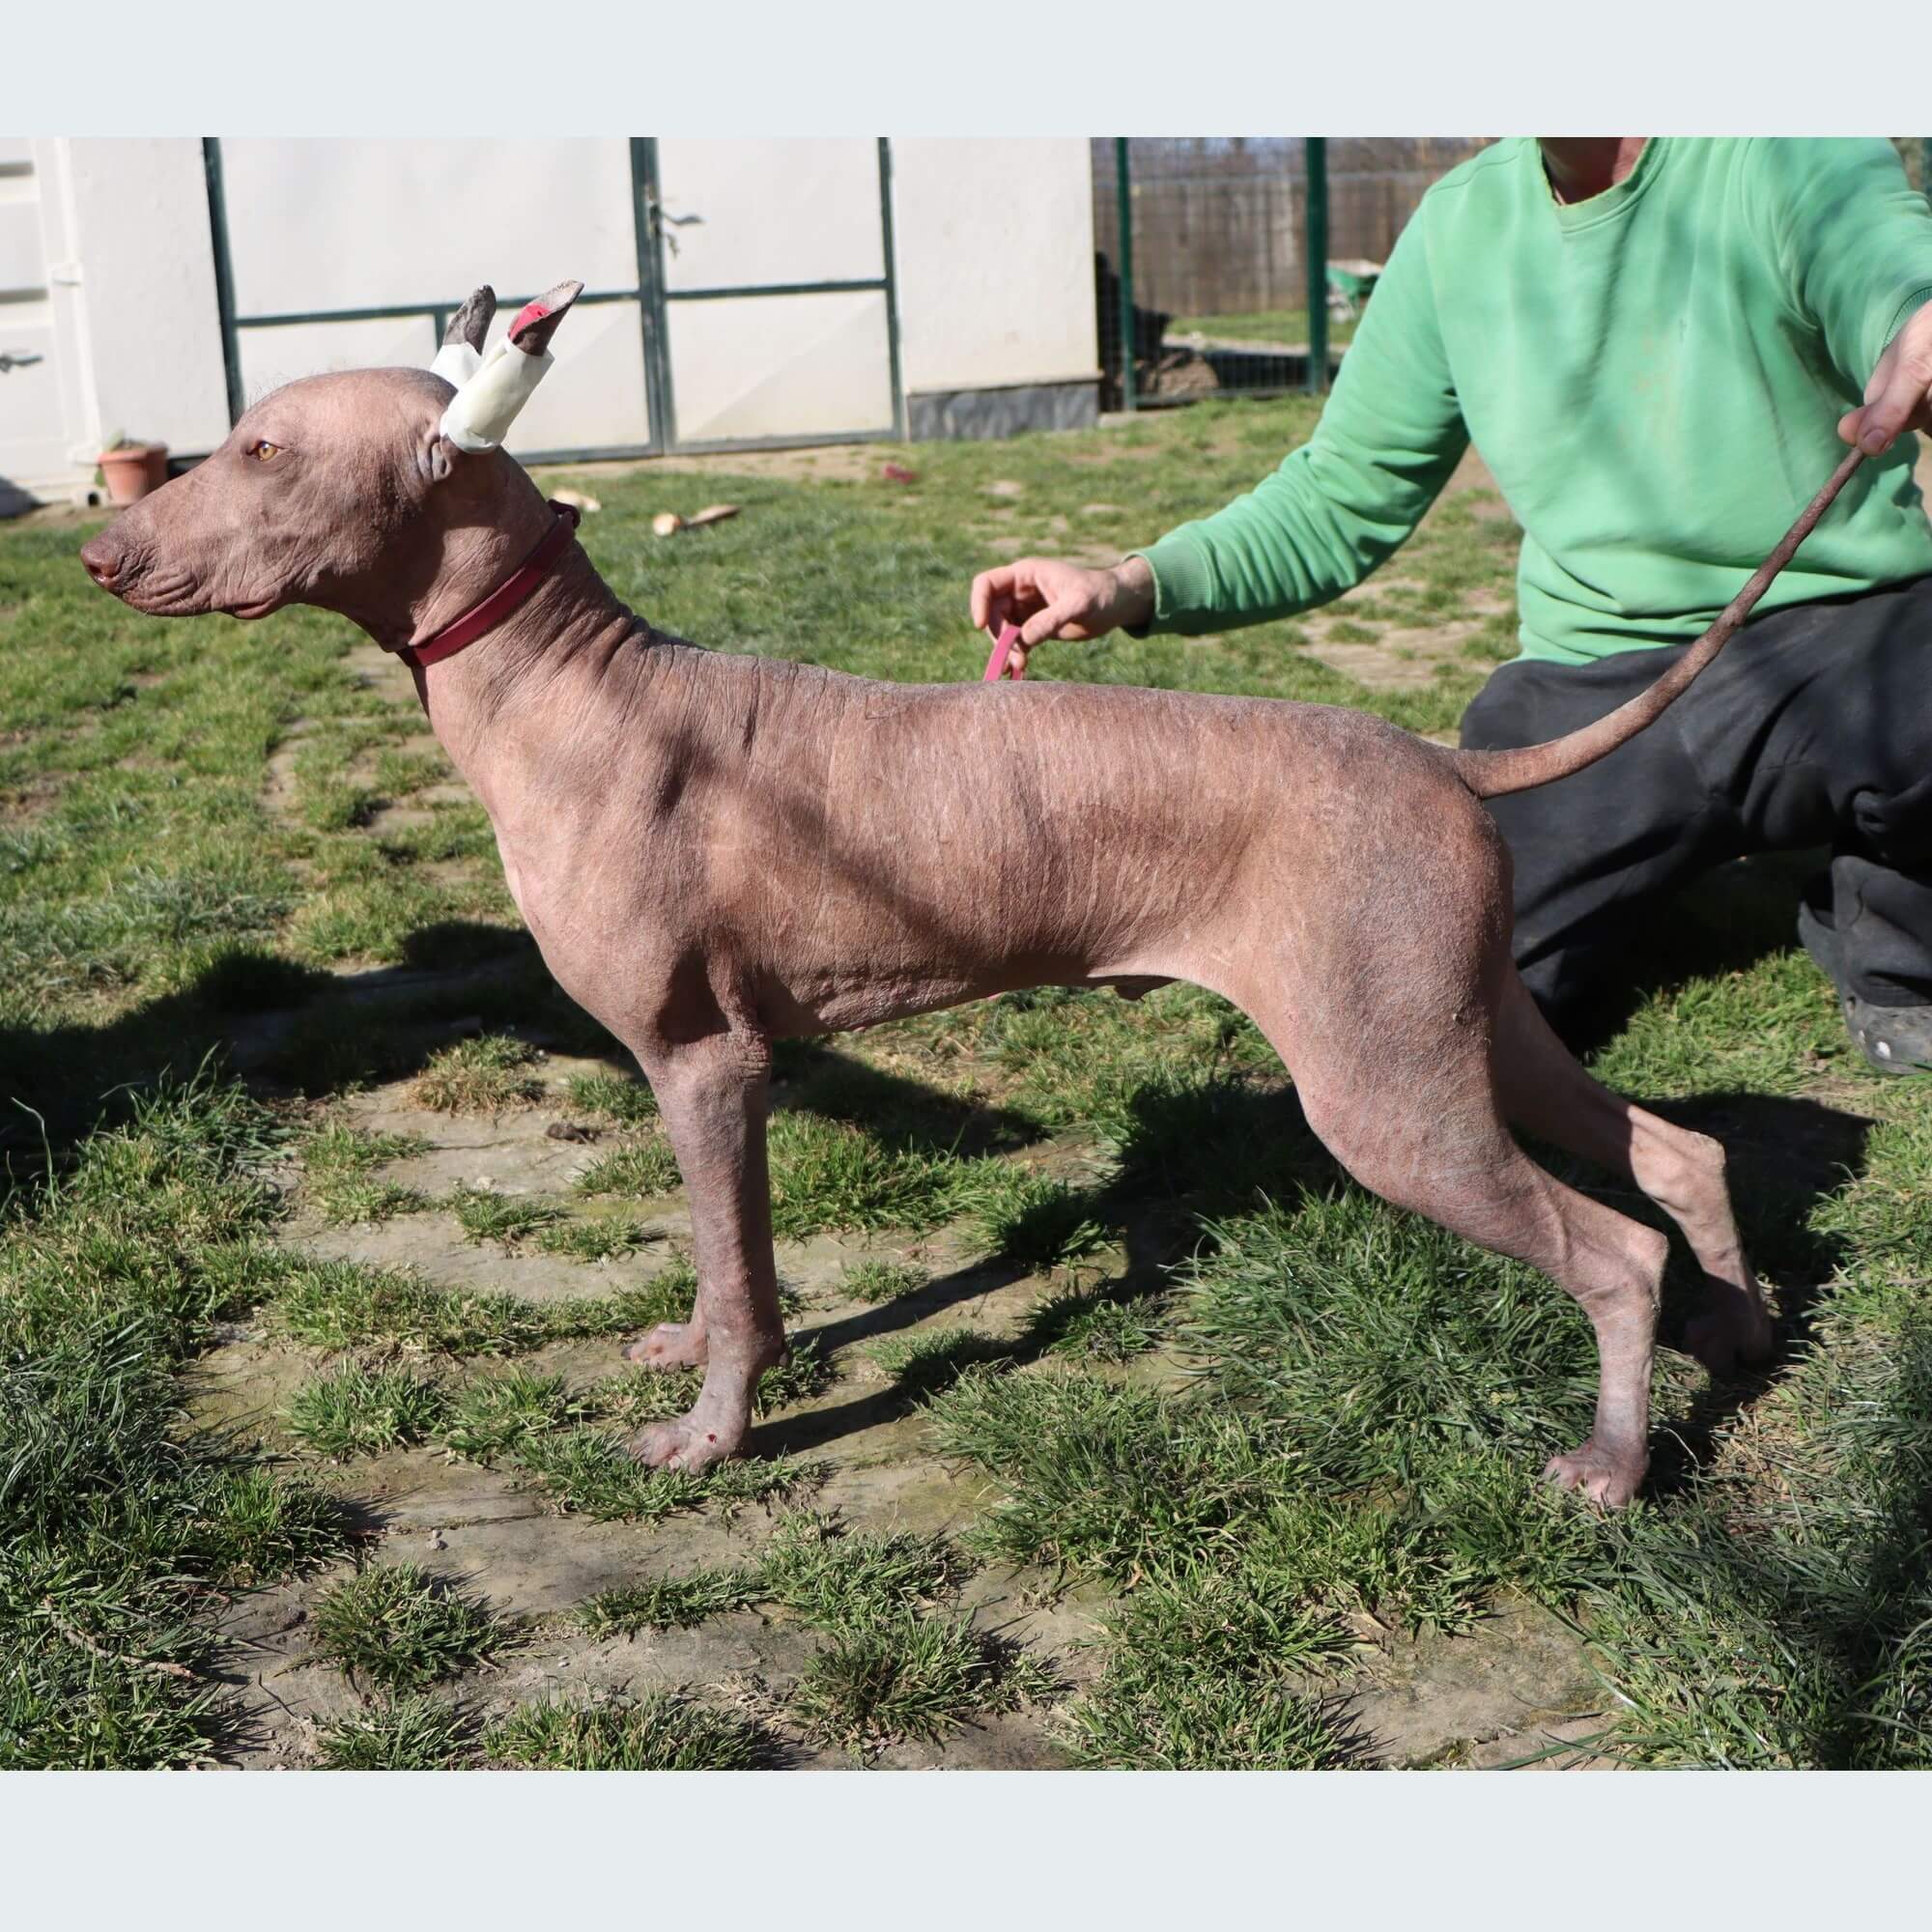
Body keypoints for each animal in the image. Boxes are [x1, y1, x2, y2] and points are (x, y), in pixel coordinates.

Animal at [79, 286, 1870, 1499]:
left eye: (259, 448)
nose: (100, 553)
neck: (573, 692)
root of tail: (1438, 761)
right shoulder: (732, 1072)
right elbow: (733, 1276)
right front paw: (707, 1365)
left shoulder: (702, 1064)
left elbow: (734, 1279)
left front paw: (712, 1436)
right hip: (1460, 1023)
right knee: (1679, 1155)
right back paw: (1737, 1333)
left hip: (1383, 1093)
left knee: (1612, 1250)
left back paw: (1613, 1464)